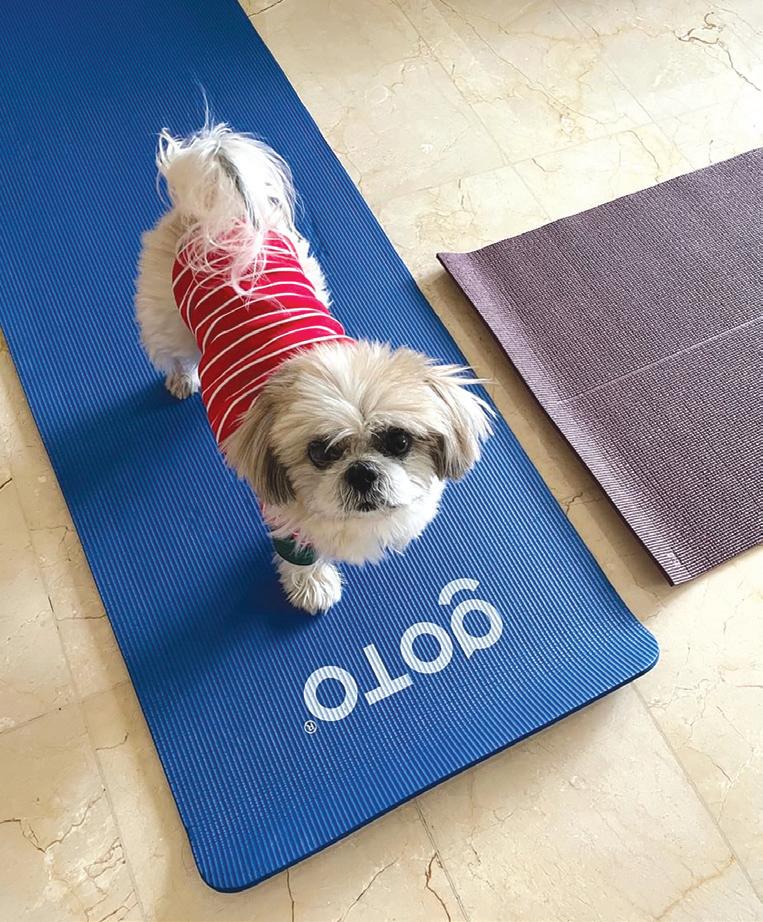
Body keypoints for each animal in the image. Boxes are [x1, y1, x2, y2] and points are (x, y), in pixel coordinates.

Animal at [135, 123, 491, 614]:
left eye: (398, 442)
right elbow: (300, 557)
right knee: (174, 351)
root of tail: (219, 221)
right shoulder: (284, 517)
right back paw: (182, 378)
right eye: (320, 453)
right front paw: (313, 585)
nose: (363, 471)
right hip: (166, 320)